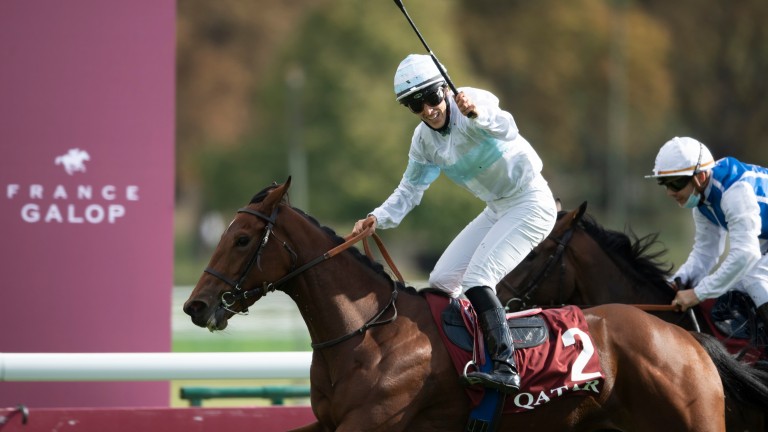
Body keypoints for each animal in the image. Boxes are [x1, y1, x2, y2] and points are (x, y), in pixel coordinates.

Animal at [183, 177, 764, 430]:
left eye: (241, 240)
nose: (195, 307)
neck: (367, 333)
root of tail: (686, 338)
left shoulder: (370, 424)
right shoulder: (329, 425)